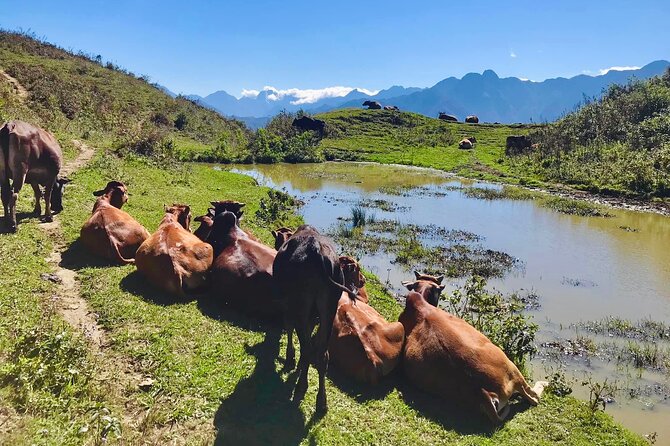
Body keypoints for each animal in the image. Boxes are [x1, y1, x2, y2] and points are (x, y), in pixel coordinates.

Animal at [272, 225, 360, 412]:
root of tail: (317, 251)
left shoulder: (287, 305)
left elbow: (288, 327)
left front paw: (291, 358)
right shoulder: (314, 316)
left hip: (301, 305)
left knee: (306, 348)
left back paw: (302, 385)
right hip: (329, 308)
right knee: (322, 354)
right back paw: (321, 401)